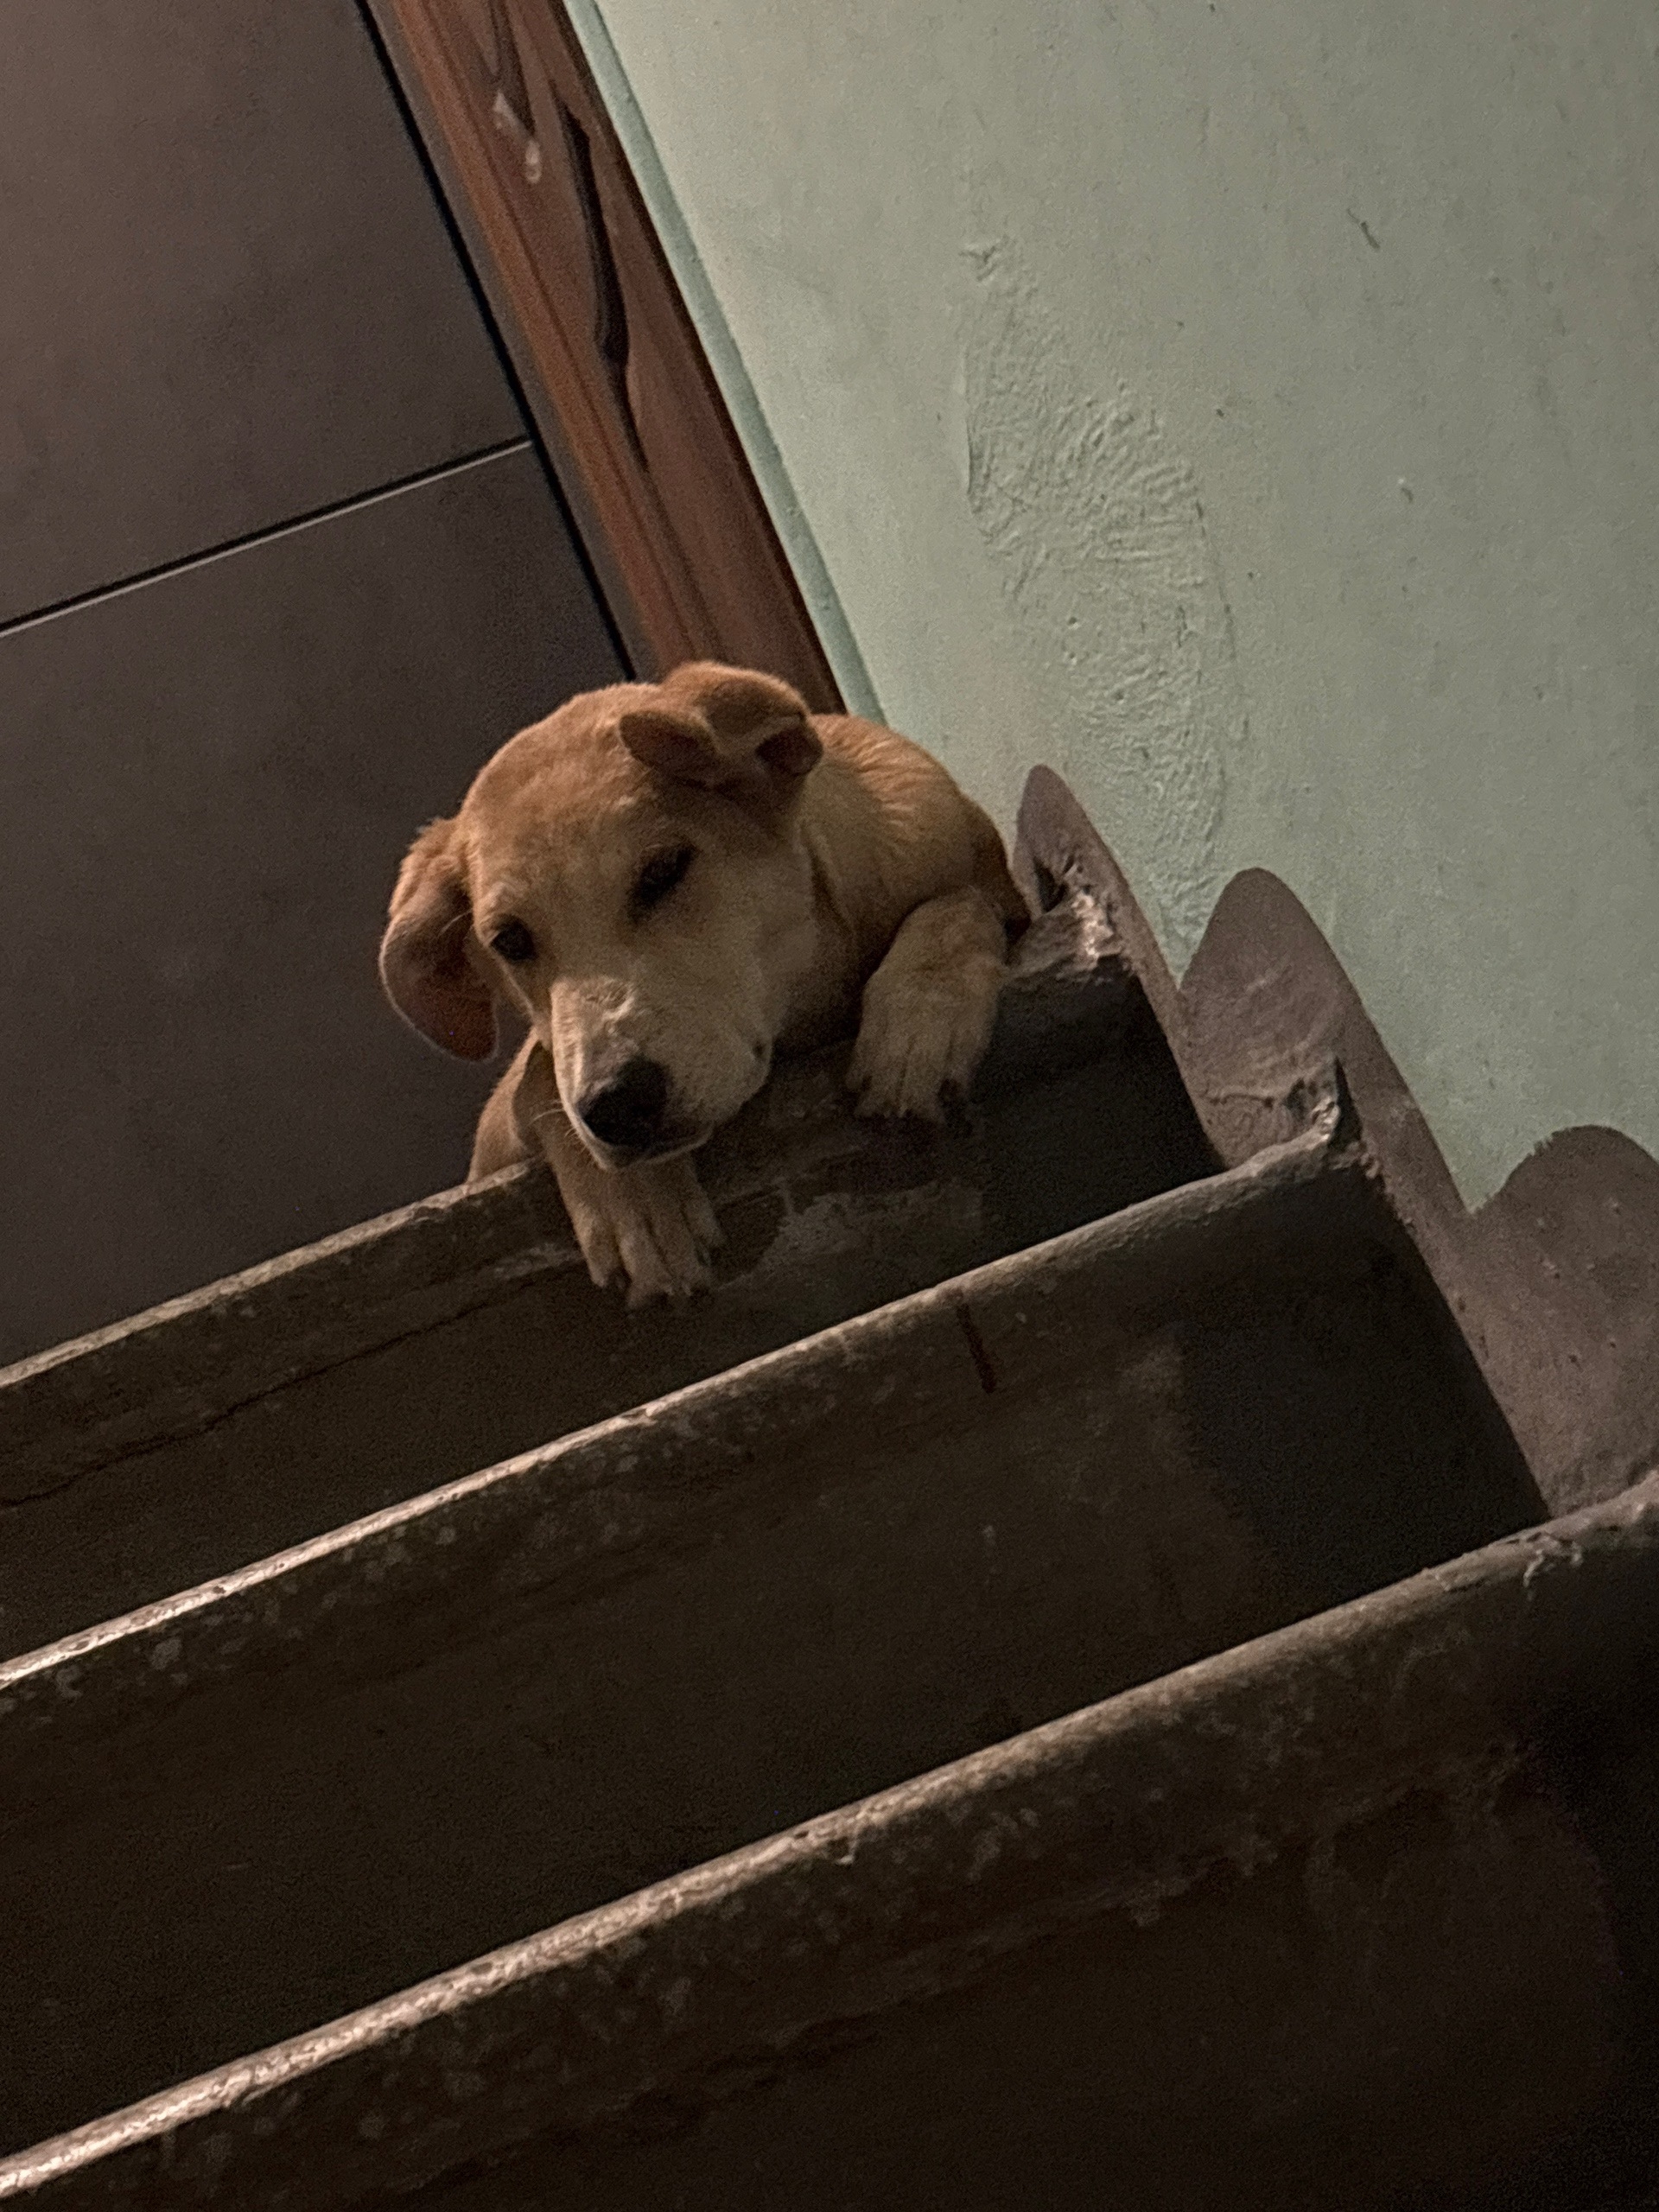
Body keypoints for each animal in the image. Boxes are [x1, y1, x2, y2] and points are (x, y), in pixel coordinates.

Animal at [380, 661, 1028, 1304]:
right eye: (510, 940)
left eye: (665, 870)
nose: (617, 1107)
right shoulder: (500, 1132)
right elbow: (538, 1071)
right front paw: (638, 1201)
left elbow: (958, 905)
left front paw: (919, 1023)